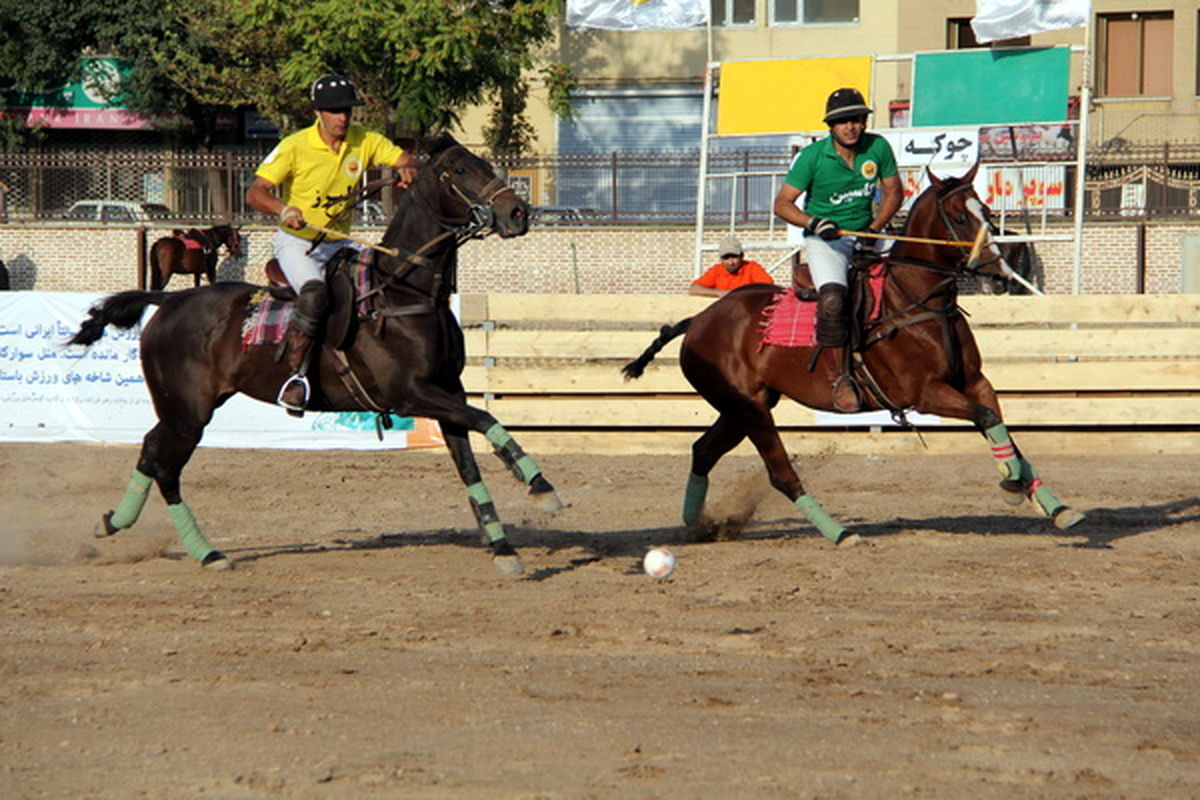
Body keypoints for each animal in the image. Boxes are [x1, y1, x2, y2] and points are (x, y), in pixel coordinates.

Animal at [69, 136, 561, 575]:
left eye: (484, 163)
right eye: (458, 170)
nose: (517, 213)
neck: (405, 293)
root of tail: (167, 301)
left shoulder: (446, 392)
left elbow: (469, 460)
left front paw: (504, 546)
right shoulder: (410, 394)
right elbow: (486, 418)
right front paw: (540, 486)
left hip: (184, 406)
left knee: (151, 449)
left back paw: (114, 522)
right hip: (188, 411)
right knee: (167, 467)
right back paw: (207, 552)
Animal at [624, 165, 1084, 546]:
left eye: (986, 210)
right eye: (957, 217)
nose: (997, 272)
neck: (917, 301)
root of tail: (697, 320)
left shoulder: (974, 382)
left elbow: (1004, 431)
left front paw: (1055, 506)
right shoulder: (925, 393)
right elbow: (988, 419)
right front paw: (1012, 486)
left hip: (744, 406)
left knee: (703, 450)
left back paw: (695, 524)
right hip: (749, 409)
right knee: (779, 473)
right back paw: (839, 532)